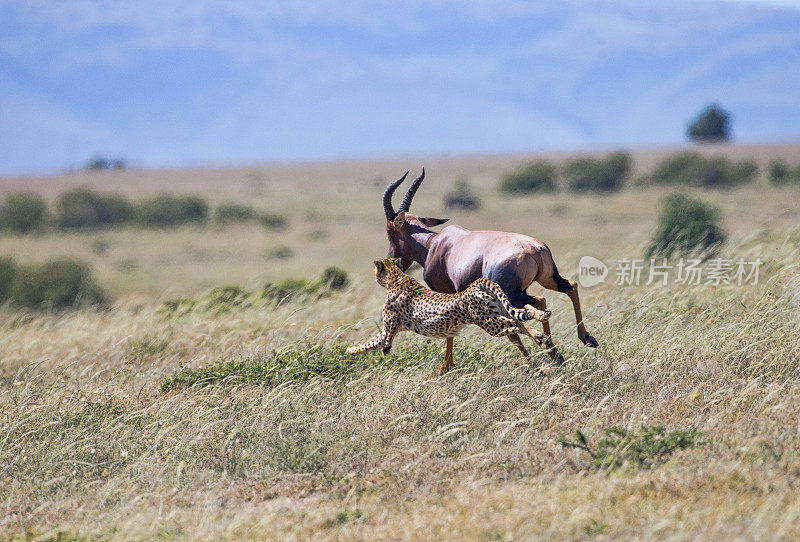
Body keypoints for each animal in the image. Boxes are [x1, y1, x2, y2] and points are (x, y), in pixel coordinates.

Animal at [346, 258, 552, 376]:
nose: (374, 276)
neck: (397, 277)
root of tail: (477, 283)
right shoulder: (392, 331)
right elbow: (373, 342)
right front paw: (355, 350)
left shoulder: (389, 331)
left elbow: (376, 342)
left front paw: (351, 350)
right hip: (498, 310)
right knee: (520, 315)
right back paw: (540, 326)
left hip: (488, 322)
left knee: (515, 323)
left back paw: (537, 333)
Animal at [382, 169, 600, 366]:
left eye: (390, 231)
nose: (391, 260)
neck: (437, 244)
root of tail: (533, 249)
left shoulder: (447, 293)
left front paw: (445, 368)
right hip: (547, 279)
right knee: (568, 287)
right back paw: (577, 343)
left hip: (512, 293)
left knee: (537, 303)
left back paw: (552, 346)